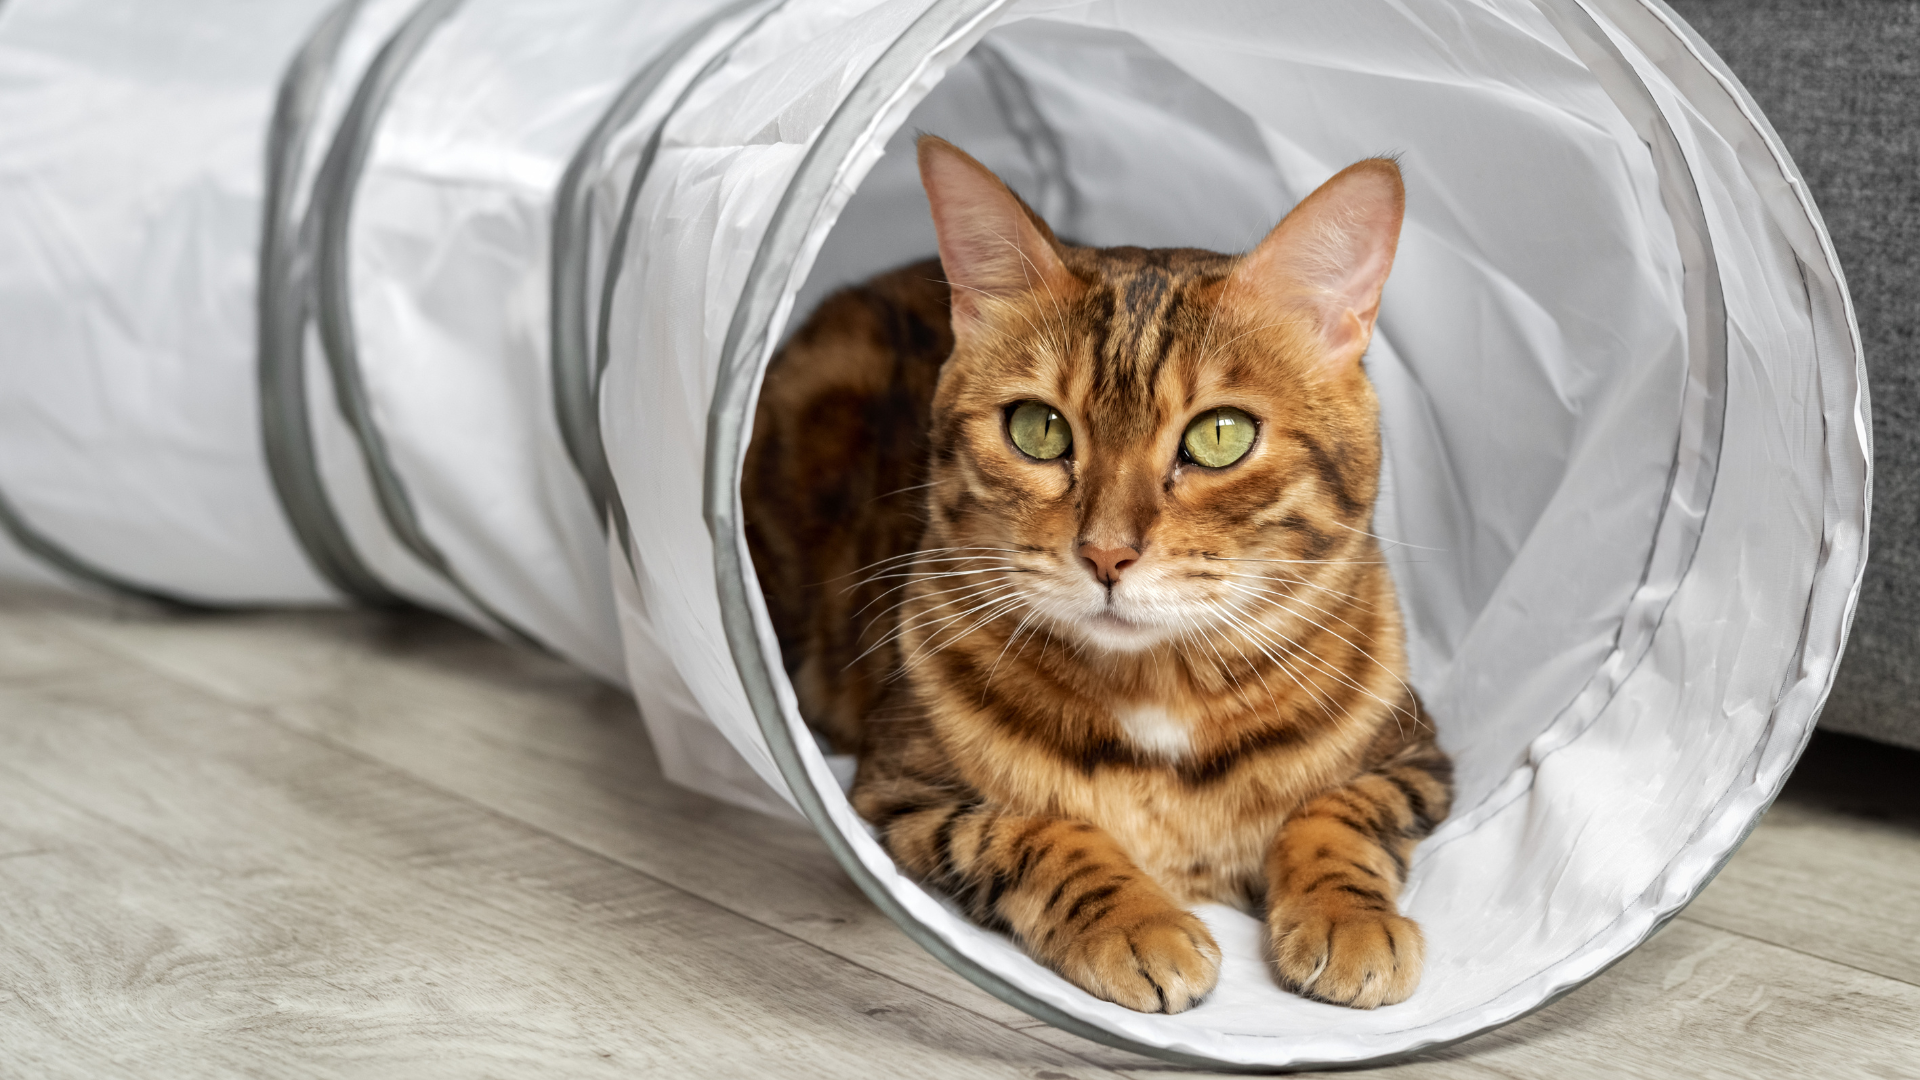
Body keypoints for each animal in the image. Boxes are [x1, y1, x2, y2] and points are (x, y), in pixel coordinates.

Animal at [741, 134, 1443, 1006]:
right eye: (1037, 428)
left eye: (1220, 435)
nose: (1107, 553)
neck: (1157, 697)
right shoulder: (904, 789)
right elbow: (1036, 828)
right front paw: (1138, 922)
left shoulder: (1416, 755)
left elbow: (1340, 810)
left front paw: (1349, 917)